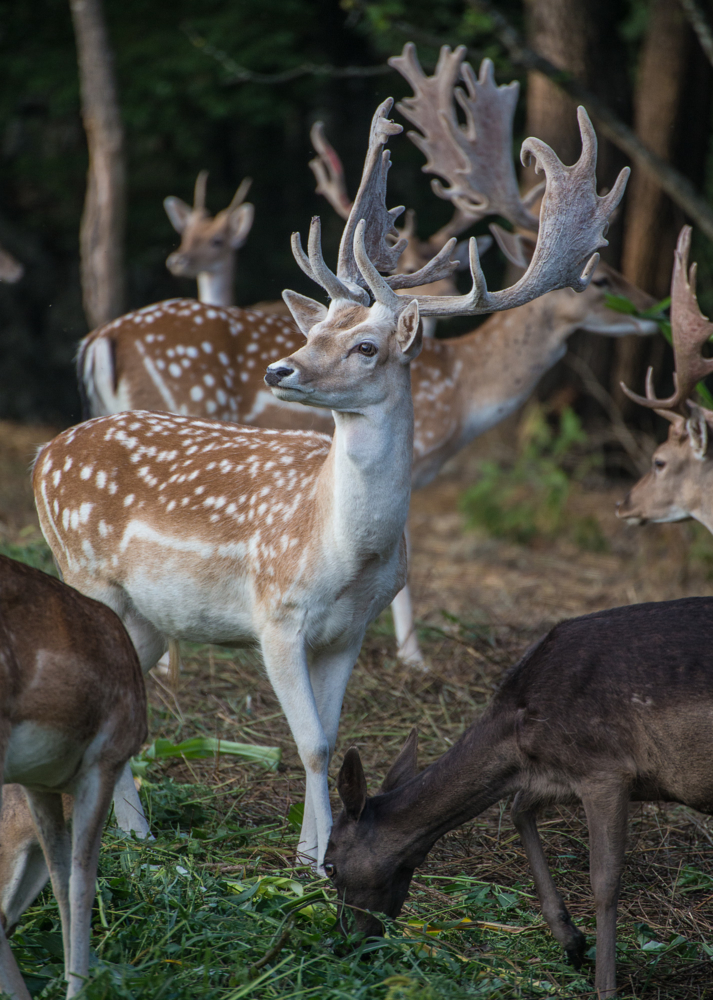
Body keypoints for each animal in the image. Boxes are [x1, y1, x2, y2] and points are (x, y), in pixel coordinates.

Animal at [325, 596, 713, 999]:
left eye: (328, 866)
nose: (341, 940)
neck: (517, 734)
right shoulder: (552, 775)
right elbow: (517, 810)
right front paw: (572, 940)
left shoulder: (606, 770)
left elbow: (604, 881)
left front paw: (605, 987)